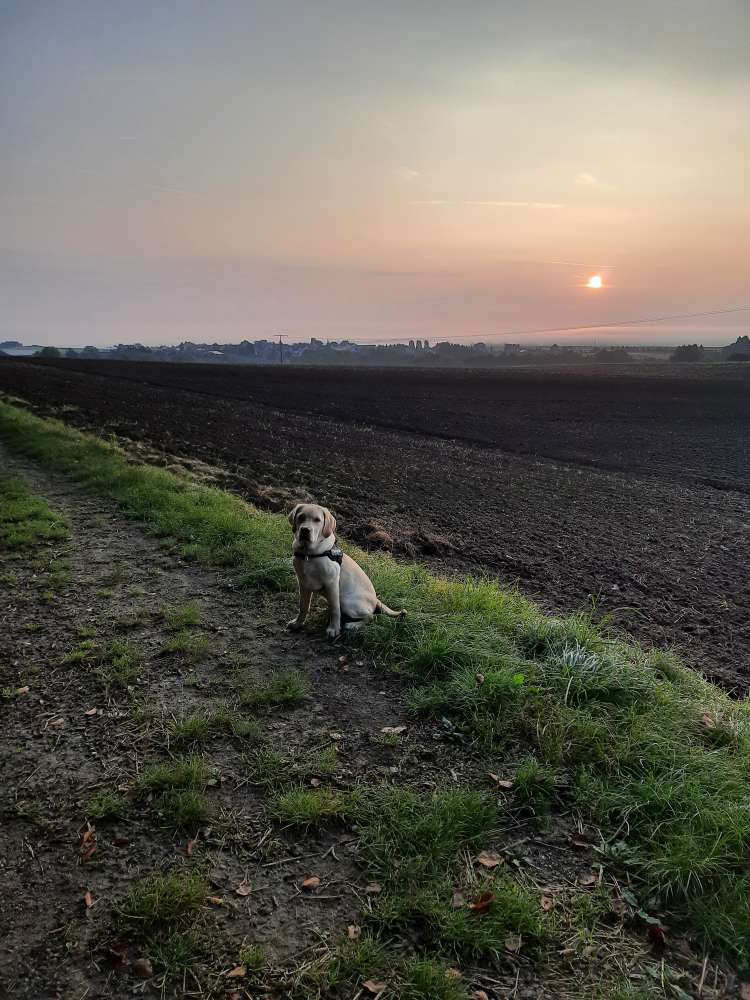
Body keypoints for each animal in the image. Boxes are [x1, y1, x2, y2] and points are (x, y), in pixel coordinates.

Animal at [288, 504, 406, 636]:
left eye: (317, 520)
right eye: (301, 517)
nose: (305, 530)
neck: (309, 554)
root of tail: (376, 600)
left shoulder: (332, 584)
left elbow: (335, 610)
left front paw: (334, 628)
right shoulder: (303, 583)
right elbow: (303, 607)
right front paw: (297, 623)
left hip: (345, 601)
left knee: (371, 616)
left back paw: (352, 625)